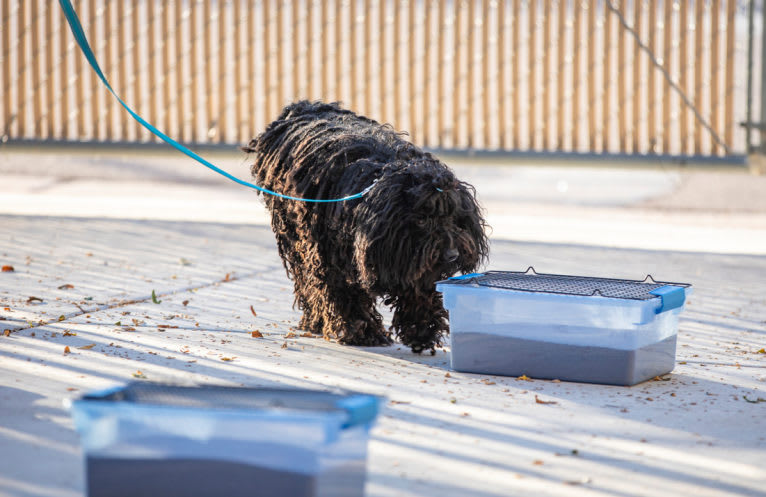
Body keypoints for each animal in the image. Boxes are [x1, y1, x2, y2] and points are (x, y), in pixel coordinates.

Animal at [243, 101, 488, 352]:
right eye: (421, 220)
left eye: (454, 218)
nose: (452, 255)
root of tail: (302, 107)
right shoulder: (330, 256)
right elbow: (343, 291)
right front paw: (364, 332)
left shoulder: (408, 258)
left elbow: (419, 287)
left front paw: (423, 329)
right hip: (294, 235)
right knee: (306, 280)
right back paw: (315, 320)